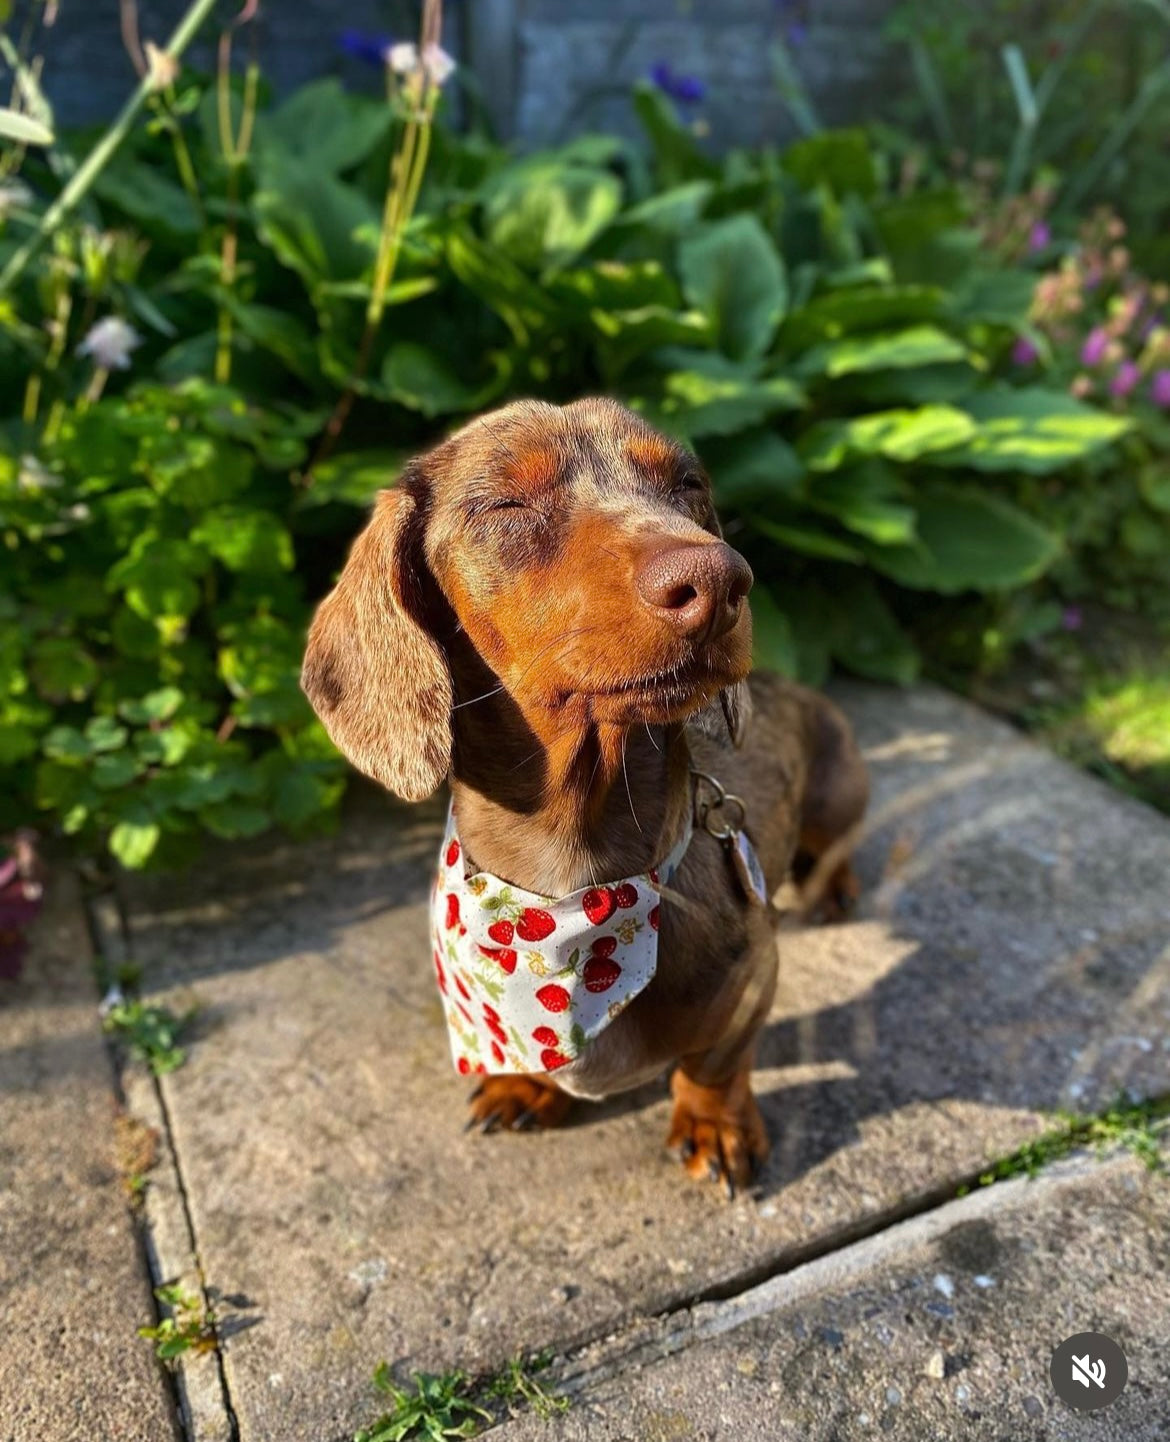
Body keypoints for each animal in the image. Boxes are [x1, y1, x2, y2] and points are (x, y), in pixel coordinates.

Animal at [301, 395, 871, 1193]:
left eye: (688, 483)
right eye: (507, 504)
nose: (721, 581)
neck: (572, 901)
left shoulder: (754, 976)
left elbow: (716, 1064)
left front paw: (715, 1125)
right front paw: (523, 1082)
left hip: (839, 790)